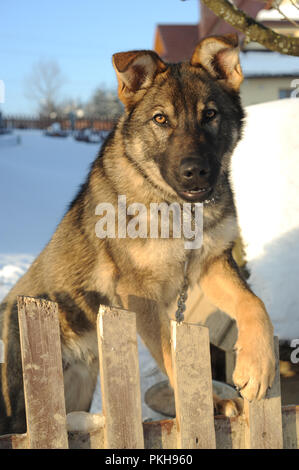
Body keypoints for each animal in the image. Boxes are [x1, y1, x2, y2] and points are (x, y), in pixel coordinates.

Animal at [0, 35, 276, 436]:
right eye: (161, 119)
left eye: (210, 115)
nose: (195, 172)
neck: (179, 211)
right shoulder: (140, 295)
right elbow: (173, 359)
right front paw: (207, 405)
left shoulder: (212, 265)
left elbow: (254, 304)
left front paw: (258, 366)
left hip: (83, 380)